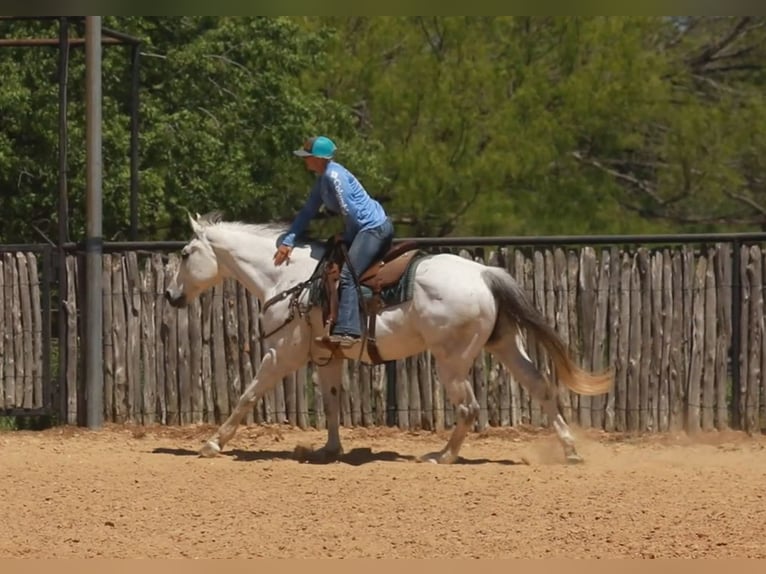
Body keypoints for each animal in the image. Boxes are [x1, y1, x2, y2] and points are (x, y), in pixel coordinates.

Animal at [166, 214, 612, 466]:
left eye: (186, 254)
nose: (170, 296)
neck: (288, 279)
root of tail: (485, 274)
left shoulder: (283, 353)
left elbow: (248, 394)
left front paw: (212, 443)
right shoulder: (327, 355)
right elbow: (332, 402)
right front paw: (330, 450)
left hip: (452, 360)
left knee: (468, 407)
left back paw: (442, 456)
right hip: (504, 346)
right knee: (541, 388)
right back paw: (570, 451)